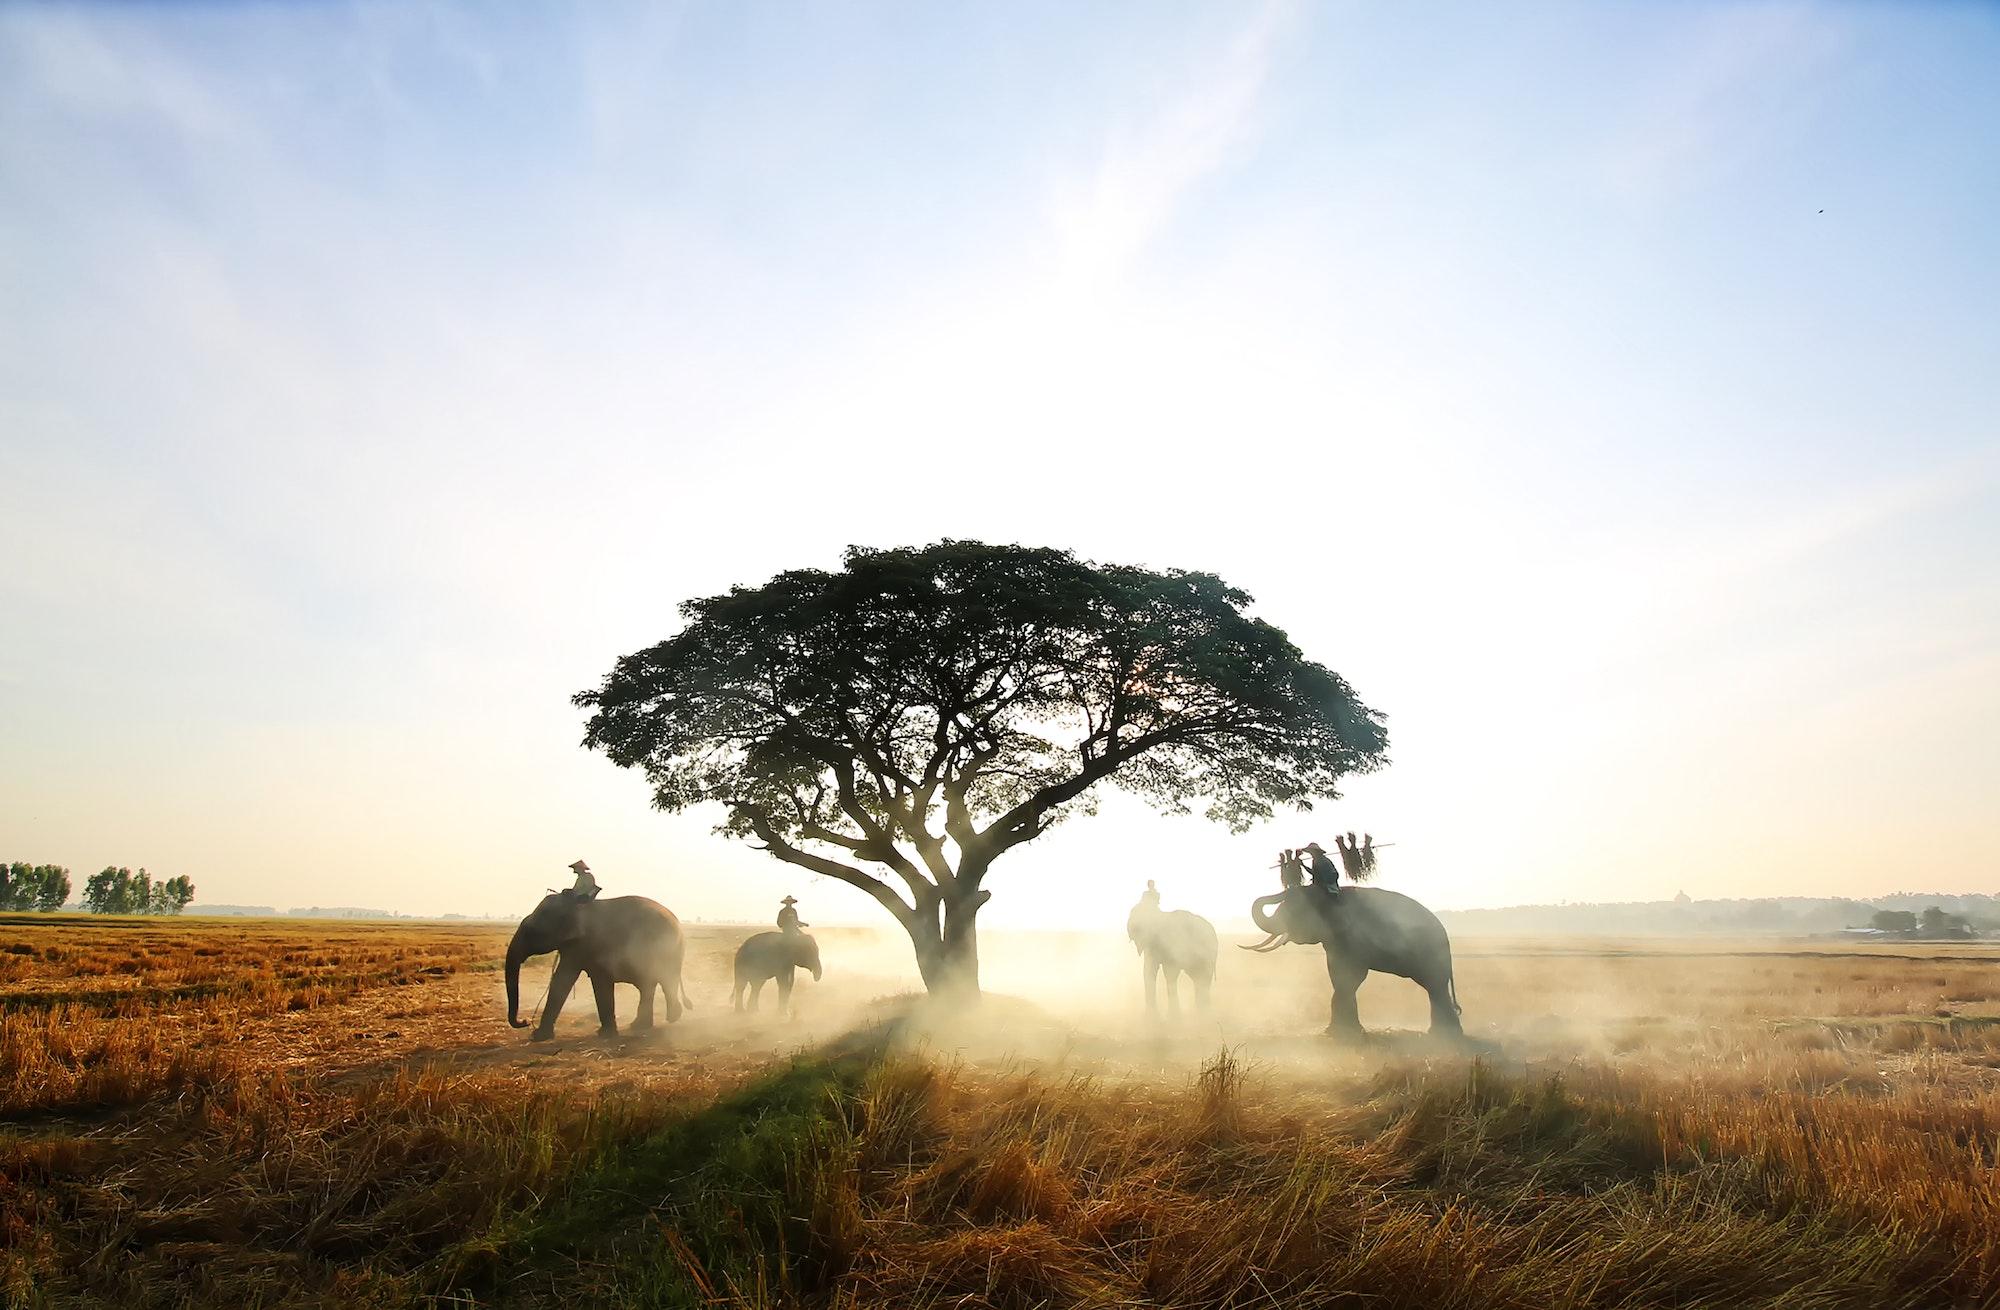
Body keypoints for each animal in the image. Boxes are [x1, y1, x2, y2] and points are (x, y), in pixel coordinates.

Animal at [504, 892, 692, 1048]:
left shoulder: (590, 945)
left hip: (667, 951)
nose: (525, 1021)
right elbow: (567, 979)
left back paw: (672, 1017)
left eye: (530, 932)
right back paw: (641, 1025)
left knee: (664, 981)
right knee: (648, 985)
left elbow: (575, 980)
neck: (575, 905)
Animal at [1128, 888, 1216, 1020]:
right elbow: (1149, 970)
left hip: (1208, 954)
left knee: (1203, 978)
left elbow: (1170, 972)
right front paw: (1152, 1018)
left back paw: (1204, 1014)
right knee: (1198, 979)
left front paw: (1172, 1018)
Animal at [1240, 852, 1464, 1048]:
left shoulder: (1354, 940)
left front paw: (1343, 1033)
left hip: (1431, 953)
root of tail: (1444, 933)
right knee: (1435, 989)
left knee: (1435, 987)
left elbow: (1352, 976)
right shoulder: (1335, 942)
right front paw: (1336, 1032)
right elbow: (1337, 974)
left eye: (1295, 910)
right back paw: (1440, 1034)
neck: (1333, 897)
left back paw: (1445, 1036)